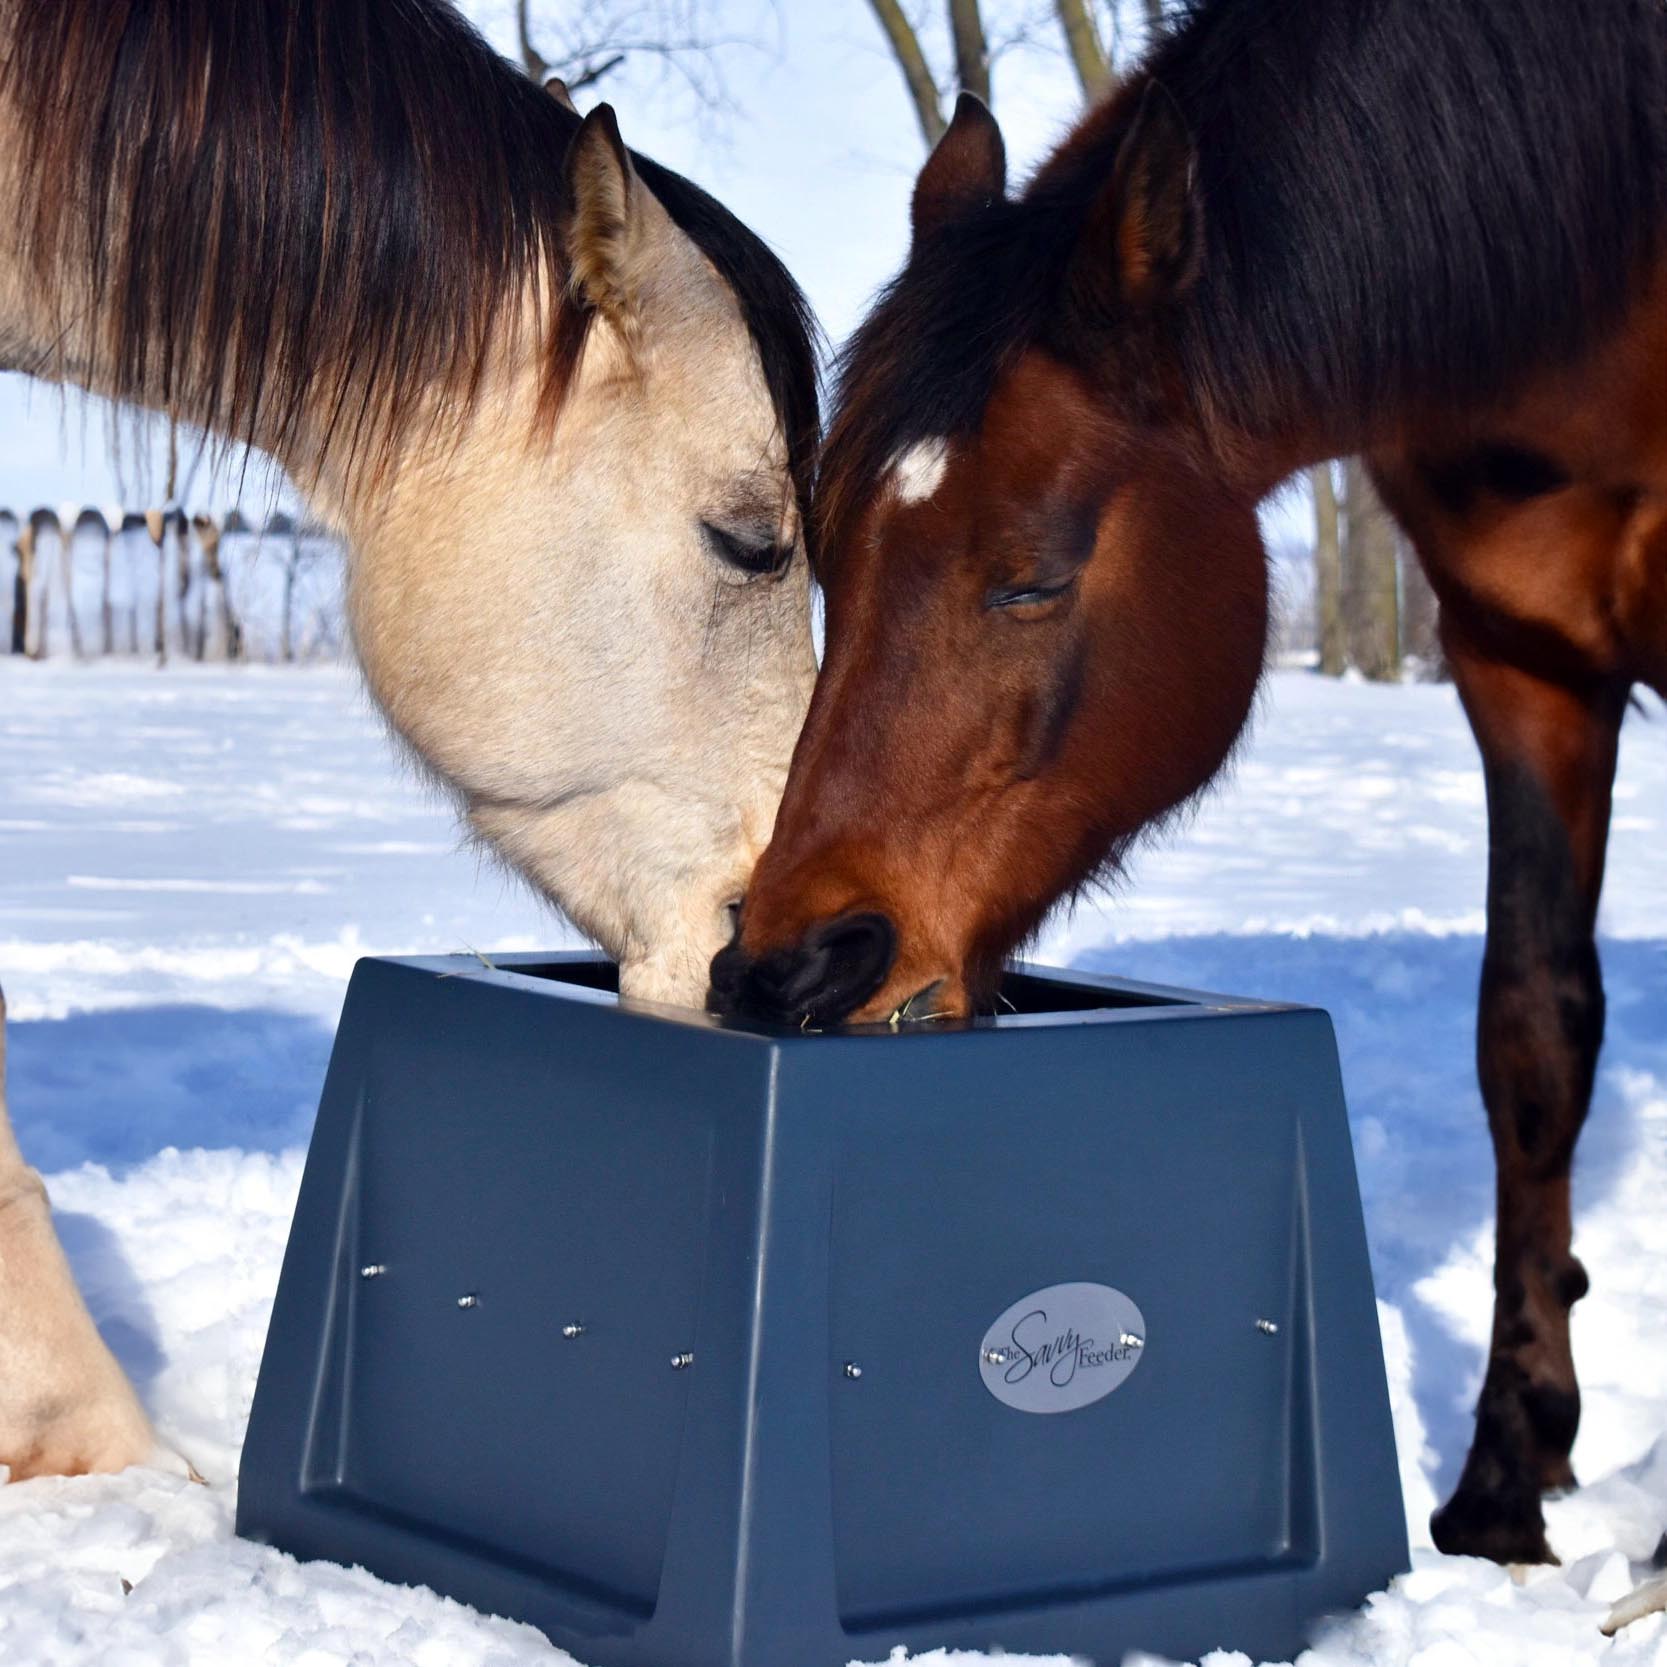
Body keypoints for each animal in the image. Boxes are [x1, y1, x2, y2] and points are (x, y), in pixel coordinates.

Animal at [716, 0, 1667, 1573]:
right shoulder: (1520, 662)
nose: (792, 963)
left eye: (1032, 574)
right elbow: (1531, 1034)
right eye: (826, 555)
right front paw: (1502, 1473)